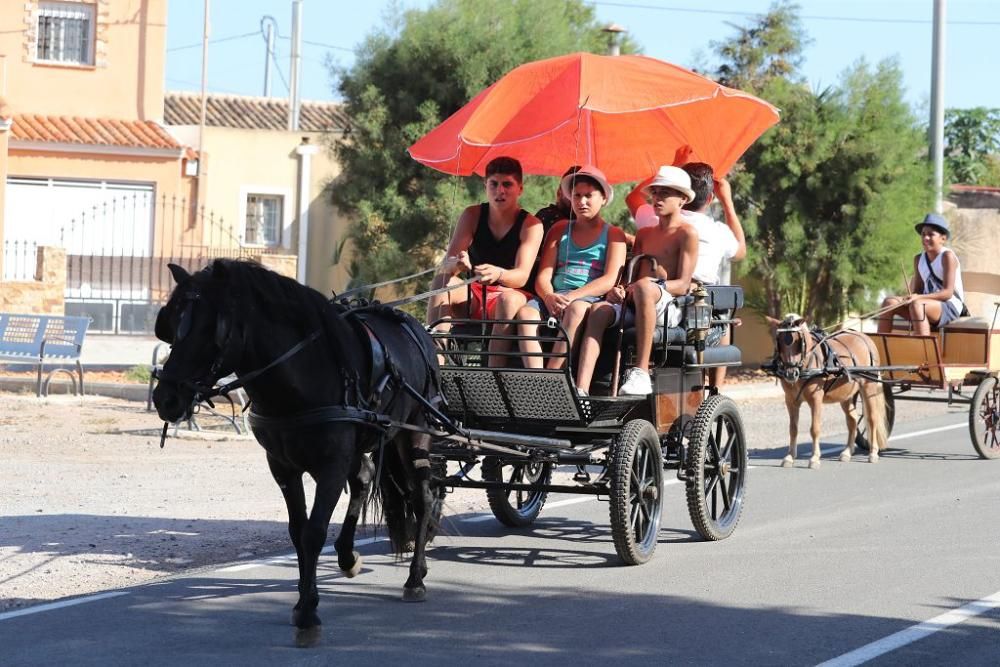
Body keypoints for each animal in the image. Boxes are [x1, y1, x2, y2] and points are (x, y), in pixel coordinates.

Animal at [152, 260, 442, 648]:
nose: (164, 398)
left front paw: (308, 614)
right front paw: (304, 599)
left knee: (422, 498)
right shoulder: (283, 467)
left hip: (414, 433)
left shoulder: (330, 466)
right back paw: (348, 555)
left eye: (212, 328)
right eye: (171, 325)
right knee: (364, 479)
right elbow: (297, 531)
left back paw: (415, 577)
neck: (301, 377)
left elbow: (313, 533)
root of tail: (414, 326)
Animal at [764, 314, 892, 468]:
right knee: (852, 420)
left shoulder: (816, 400)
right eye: (780, 342)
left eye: (798, 342)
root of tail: (865, 337)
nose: (790, 373)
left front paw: (814, 458)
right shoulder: (790, 401)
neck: (806, 364)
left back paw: (873, 453)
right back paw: (847, 452)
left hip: (869, 387)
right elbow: (793, 429)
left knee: (872, 419)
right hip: (846, 395)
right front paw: (789, 457)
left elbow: (815, 429)